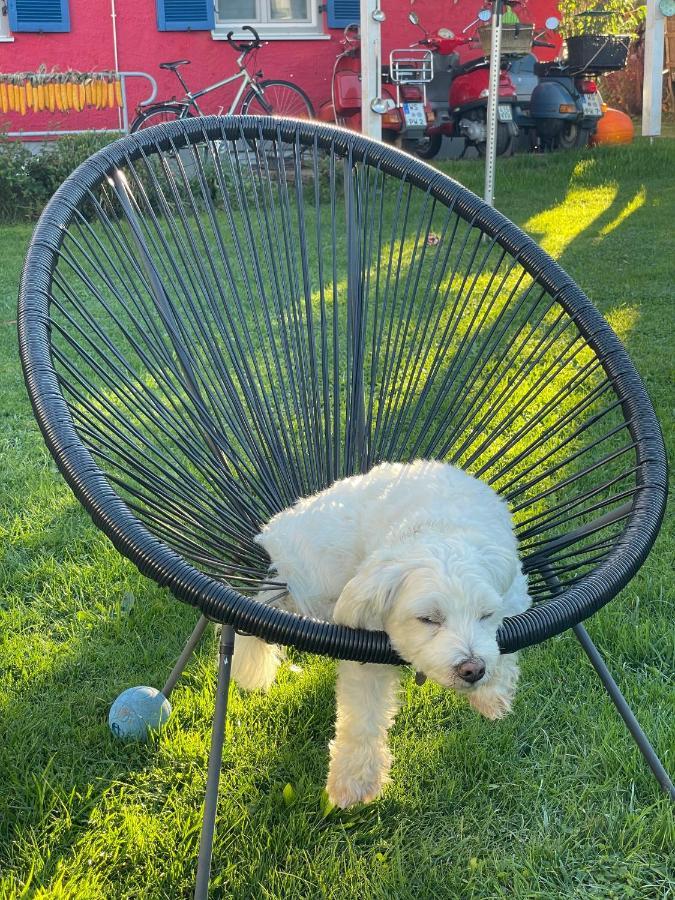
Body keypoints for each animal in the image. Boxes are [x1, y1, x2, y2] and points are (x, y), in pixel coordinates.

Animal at [230, 460, 532, 812]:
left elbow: (505, 649)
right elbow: (362, 715)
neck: (438, 526)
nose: (473, 669)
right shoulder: (367, 643)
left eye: (485, 615)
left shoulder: (513, 596)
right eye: (428, 619)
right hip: (319, 575)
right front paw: (354, 778)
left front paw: (491, 693)